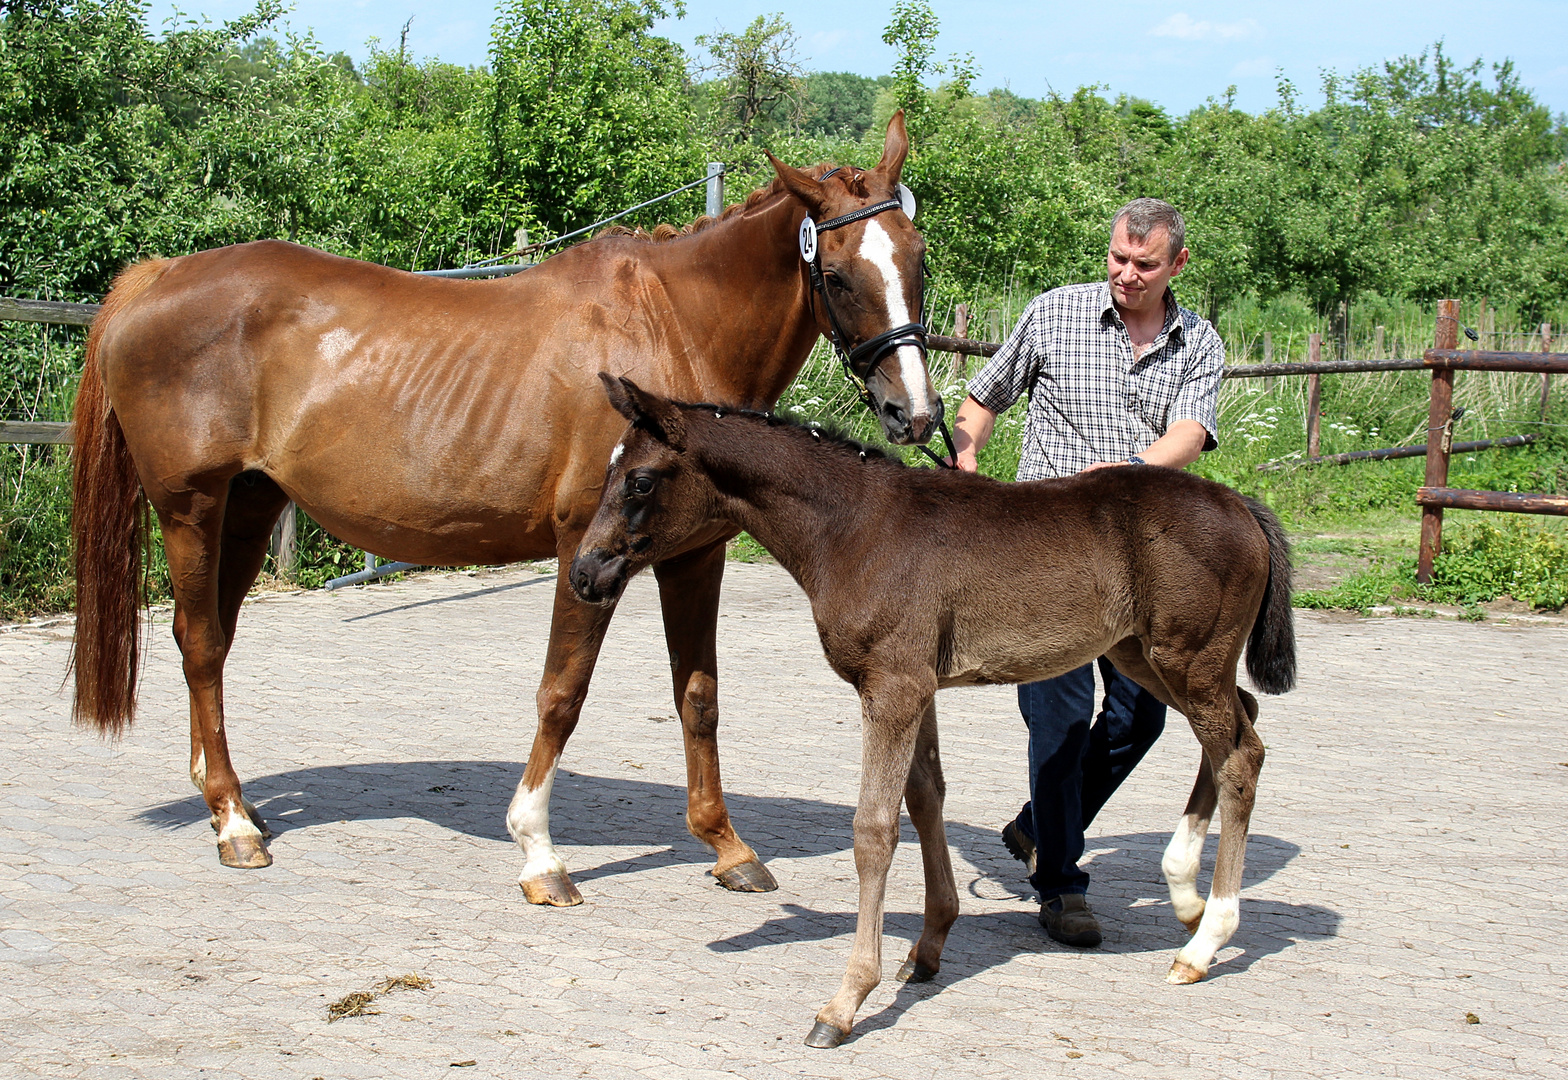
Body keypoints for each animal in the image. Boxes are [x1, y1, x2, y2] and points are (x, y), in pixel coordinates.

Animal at [70, 115, 940, 902]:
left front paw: (726, 845)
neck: (670, 330)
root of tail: (158, 278)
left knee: (210, 645)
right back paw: (234, 825)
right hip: (189, 508)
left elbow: (698, 696)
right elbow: (562, 694)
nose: (916, 414)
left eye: (918, 261)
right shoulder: (586, 554)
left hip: (249, 506)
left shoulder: (696, 555)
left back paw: (230, 805)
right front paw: (540, 854)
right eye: (837, 275)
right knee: (200, 646)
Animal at [570, 377, 1292, 1047]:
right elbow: (926, 798)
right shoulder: (919, 688)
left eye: (638, 480)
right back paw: (1185, 893)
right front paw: (927, 948)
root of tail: (1243, 505)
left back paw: (1203, 944)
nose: (583, 573)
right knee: (1243, 722)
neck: (854, 528)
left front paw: (844, 1002)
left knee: (1241, 755)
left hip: (1187, 660)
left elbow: (874, 830)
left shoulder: (892, 688)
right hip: (1149, 656)